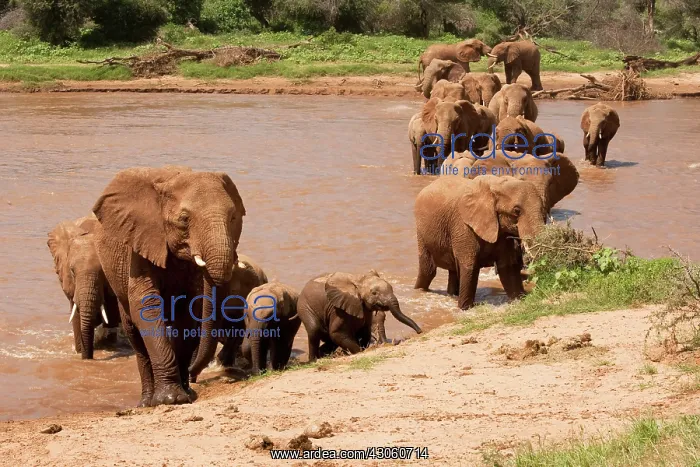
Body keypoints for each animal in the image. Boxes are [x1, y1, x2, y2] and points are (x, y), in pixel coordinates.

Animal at [92, 166, 246, 407]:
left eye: (233, 217)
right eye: (184, 219)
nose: (195, 377)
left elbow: (189, 313)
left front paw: (184, 397)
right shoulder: (141, 243)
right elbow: (146, 307)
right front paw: (170, 399)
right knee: (135, 335)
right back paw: (146, 402)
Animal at [414, 175, 546, 309]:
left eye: (543, 208)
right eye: (516, 211)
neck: (496, 185)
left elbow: (508, 267)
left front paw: (518, 299)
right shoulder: (464, 226)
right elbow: (470, 266)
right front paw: (465, 309)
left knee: (453, 270)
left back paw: (452, 295)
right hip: (422, 233)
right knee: (428, 270)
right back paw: (419, 290)